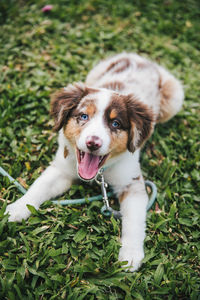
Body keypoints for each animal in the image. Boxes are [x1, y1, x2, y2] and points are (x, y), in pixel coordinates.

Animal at [5, 54, 184, 272]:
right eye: (83, 116)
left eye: (115, 124)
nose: (93, 143)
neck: (101, 171)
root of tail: (142, 59)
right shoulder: (62, 168)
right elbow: (40, 186)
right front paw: (17, 209)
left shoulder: (131, 183)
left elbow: (134, 220)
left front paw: (130, 255)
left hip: (173, 97)